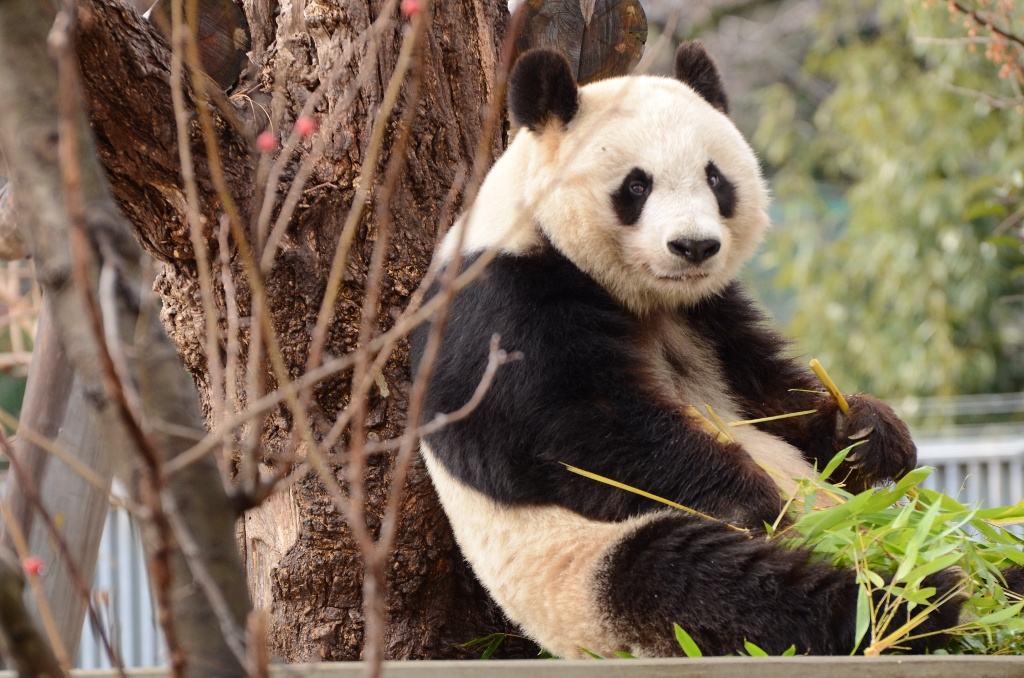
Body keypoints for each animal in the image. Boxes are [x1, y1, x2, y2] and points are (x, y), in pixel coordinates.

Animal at [405, 42, 958, 659]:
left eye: (715, 178)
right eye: (636, 186)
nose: (694, 246)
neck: (639, 295)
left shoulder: (708, 315)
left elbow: (772, 398)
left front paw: (866, 433)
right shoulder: (496, 305)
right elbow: (572, 431)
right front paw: (751, 495)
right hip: (588, 570)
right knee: (710, 583)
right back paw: (914, 602)